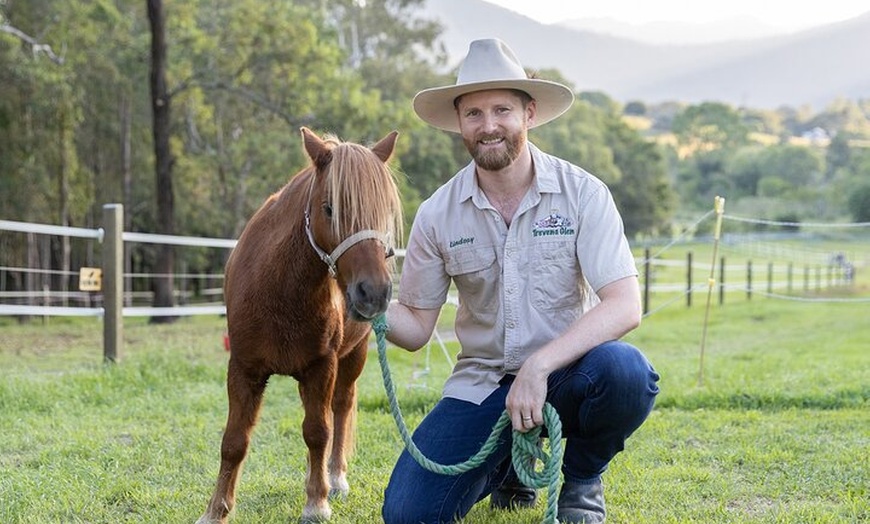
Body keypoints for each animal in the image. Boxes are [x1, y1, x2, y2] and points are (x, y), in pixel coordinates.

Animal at [197, 128, 402, 524]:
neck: (279, 290)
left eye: (384, 210)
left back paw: (334, 478)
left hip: (353, 357)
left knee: (340, 409)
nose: (374, 293)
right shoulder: (243, 369)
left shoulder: (322, 366)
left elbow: (318, 432)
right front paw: (216, 510)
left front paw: (316, 502)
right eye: (329, 208)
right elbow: (233, 441)